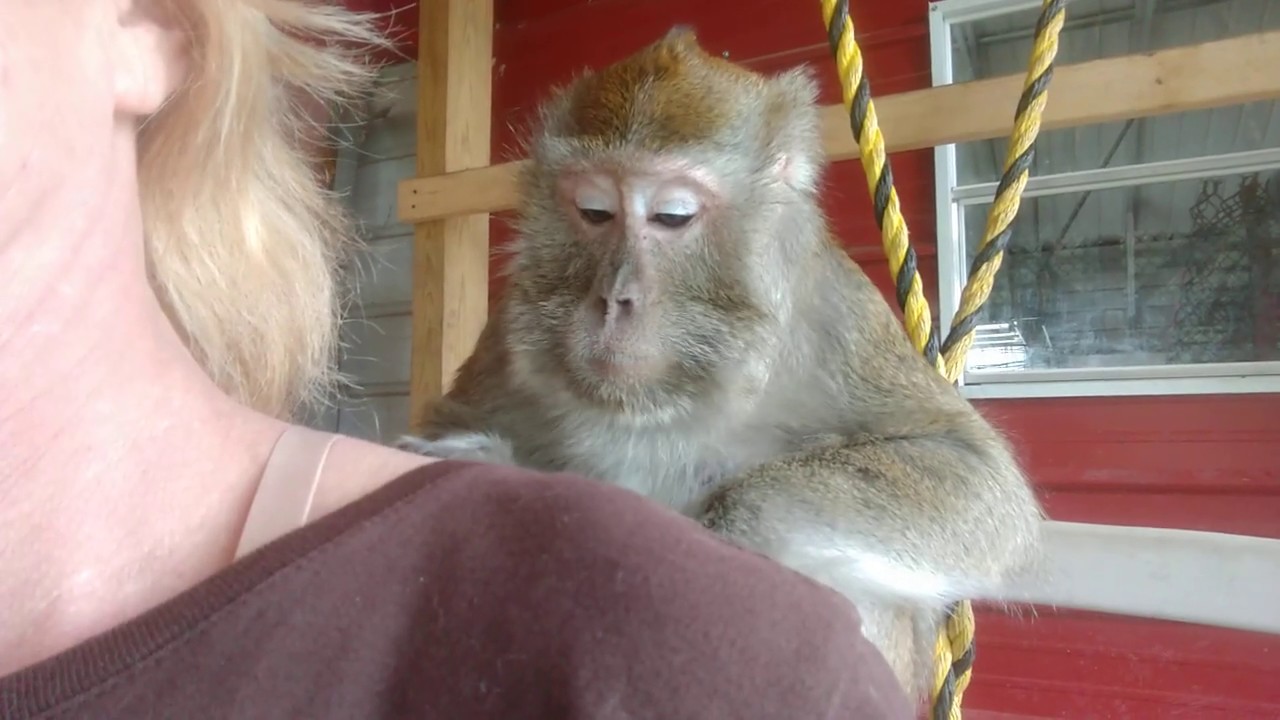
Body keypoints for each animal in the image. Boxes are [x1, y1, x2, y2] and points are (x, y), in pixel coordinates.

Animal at [395, 27, 1045, 705]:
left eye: (673, 216)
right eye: (594, 211)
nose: (614, 298)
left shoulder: (831, 317)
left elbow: (976, 481)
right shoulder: (509, 329)